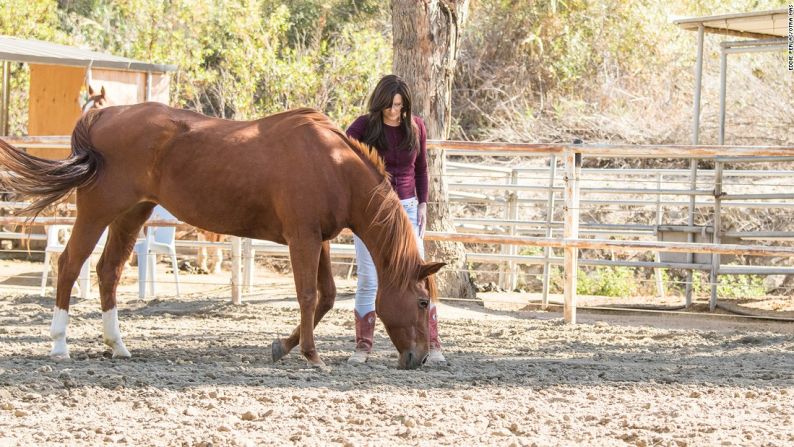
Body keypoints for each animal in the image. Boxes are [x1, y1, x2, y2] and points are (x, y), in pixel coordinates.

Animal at [0, 103, 446, 370]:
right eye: (422, 301)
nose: (419, 358)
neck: (332, 164)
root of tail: (102, 115)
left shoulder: (317, 239)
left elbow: (327, 296)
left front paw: (282, 347)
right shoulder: (301, 238)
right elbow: (308, 296)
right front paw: (312, 356)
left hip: (131, 214)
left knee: (108, 271)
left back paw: (118, 345)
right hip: (98, 210)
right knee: (70, 264)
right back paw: (59, 345)